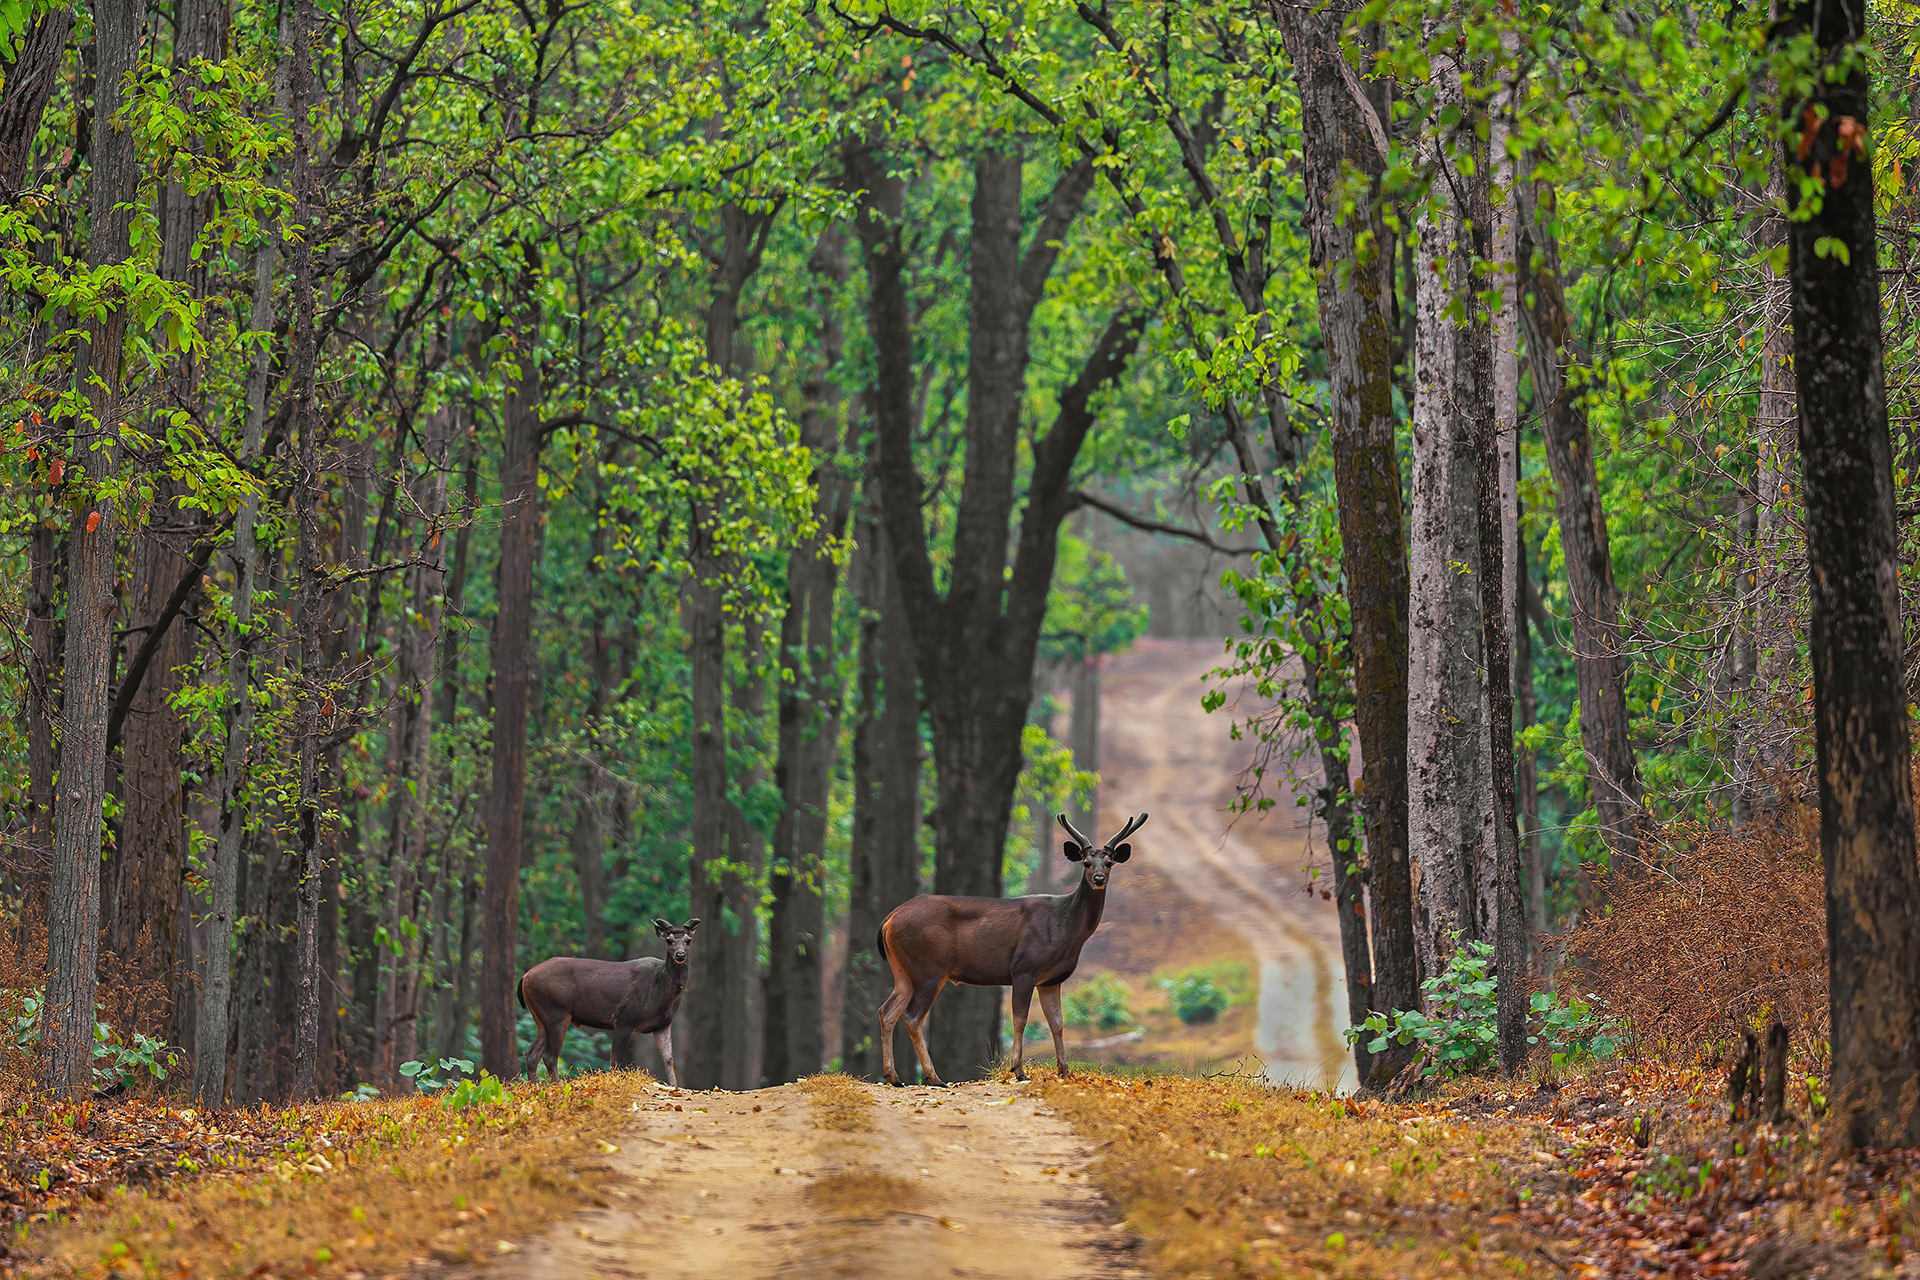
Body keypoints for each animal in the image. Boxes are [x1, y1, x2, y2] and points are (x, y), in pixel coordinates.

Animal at [516, 918, 700, 1086]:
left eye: (688, 940)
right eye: (669, 940)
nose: (680, 955)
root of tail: (525, 976)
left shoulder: (663, 1024)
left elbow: (669, 1059)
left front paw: (674, 1088)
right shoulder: (624, 1018)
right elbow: (616, 1061)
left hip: (542, 1017)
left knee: (532, 1053)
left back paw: (534, 1087)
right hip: (556, 1011)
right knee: (550, 1056)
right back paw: (557, 1086)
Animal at [876, 811, 1147, 1086]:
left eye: (1109, 863)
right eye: (1085, 862)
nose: (1099, 879)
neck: (1065, 928)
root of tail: (889, 919)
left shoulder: (1051, 980)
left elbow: (1057, 1022)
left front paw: (1064, 1071)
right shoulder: (1024, 967)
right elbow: (1020, 1019)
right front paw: (1018, 1070)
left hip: (904, 971)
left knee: (887, 1011)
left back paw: (893, 1076)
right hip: (929, 968)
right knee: (912, 1016)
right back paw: (933, 1076)